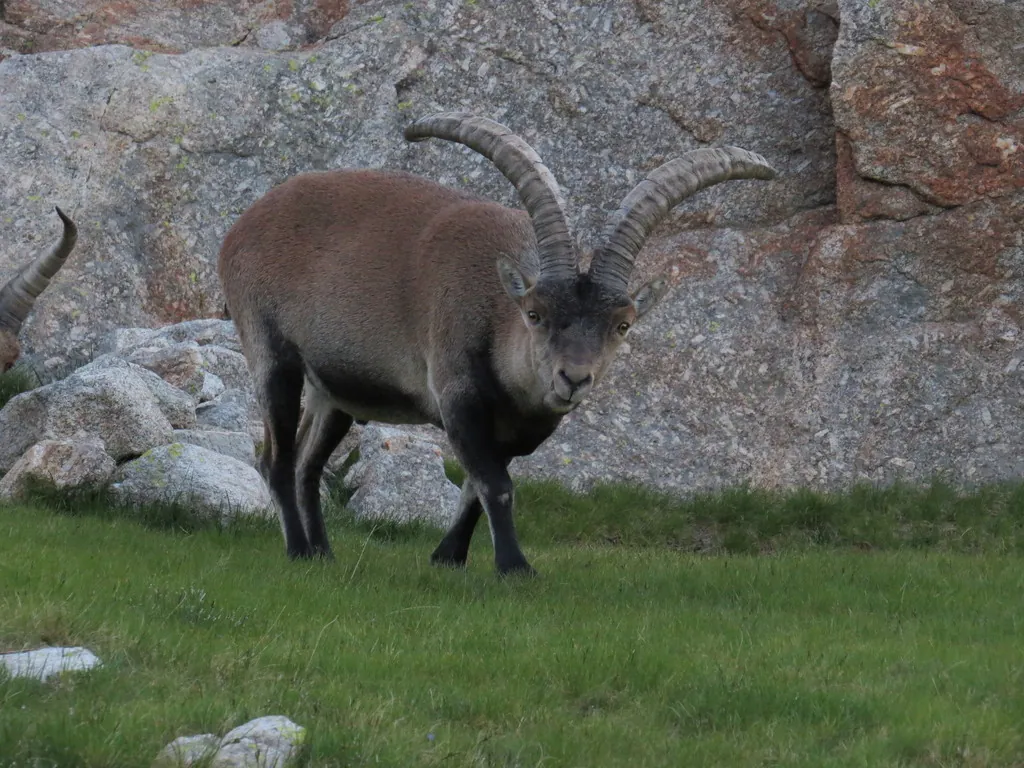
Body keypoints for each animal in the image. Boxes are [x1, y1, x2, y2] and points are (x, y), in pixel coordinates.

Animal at [218, 112, 775, 575]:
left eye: (623, 325)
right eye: (535, 314)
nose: (573, 379)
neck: (497, 322)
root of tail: (242, 227)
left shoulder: (522, 428)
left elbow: (475, 486)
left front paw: (448, 557)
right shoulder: (456, 397)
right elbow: (495, 485)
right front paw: (514, 568)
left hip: (334, 392)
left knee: (308, 465)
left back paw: (322, 553)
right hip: (271, 352)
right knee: (278, 461)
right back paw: (297, 550)